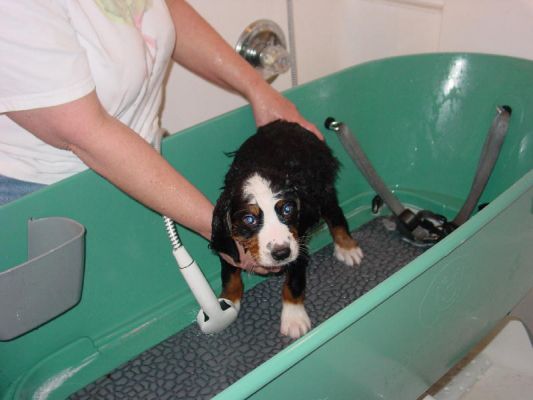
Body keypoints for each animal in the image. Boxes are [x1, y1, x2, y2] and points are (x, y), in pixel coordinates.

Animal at [210, 119, 364, 338]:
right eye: (249, 219)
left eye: (288, 209)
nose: (281, 253)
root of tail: (286, 123)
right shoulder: (230, 243)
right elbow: (230, 275)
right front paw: (227, 302)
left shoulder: (298, 244)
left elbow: (294, 282)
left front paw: (293, 318)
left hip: (323, 191)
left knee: (336, 216)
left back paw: (347, 248)